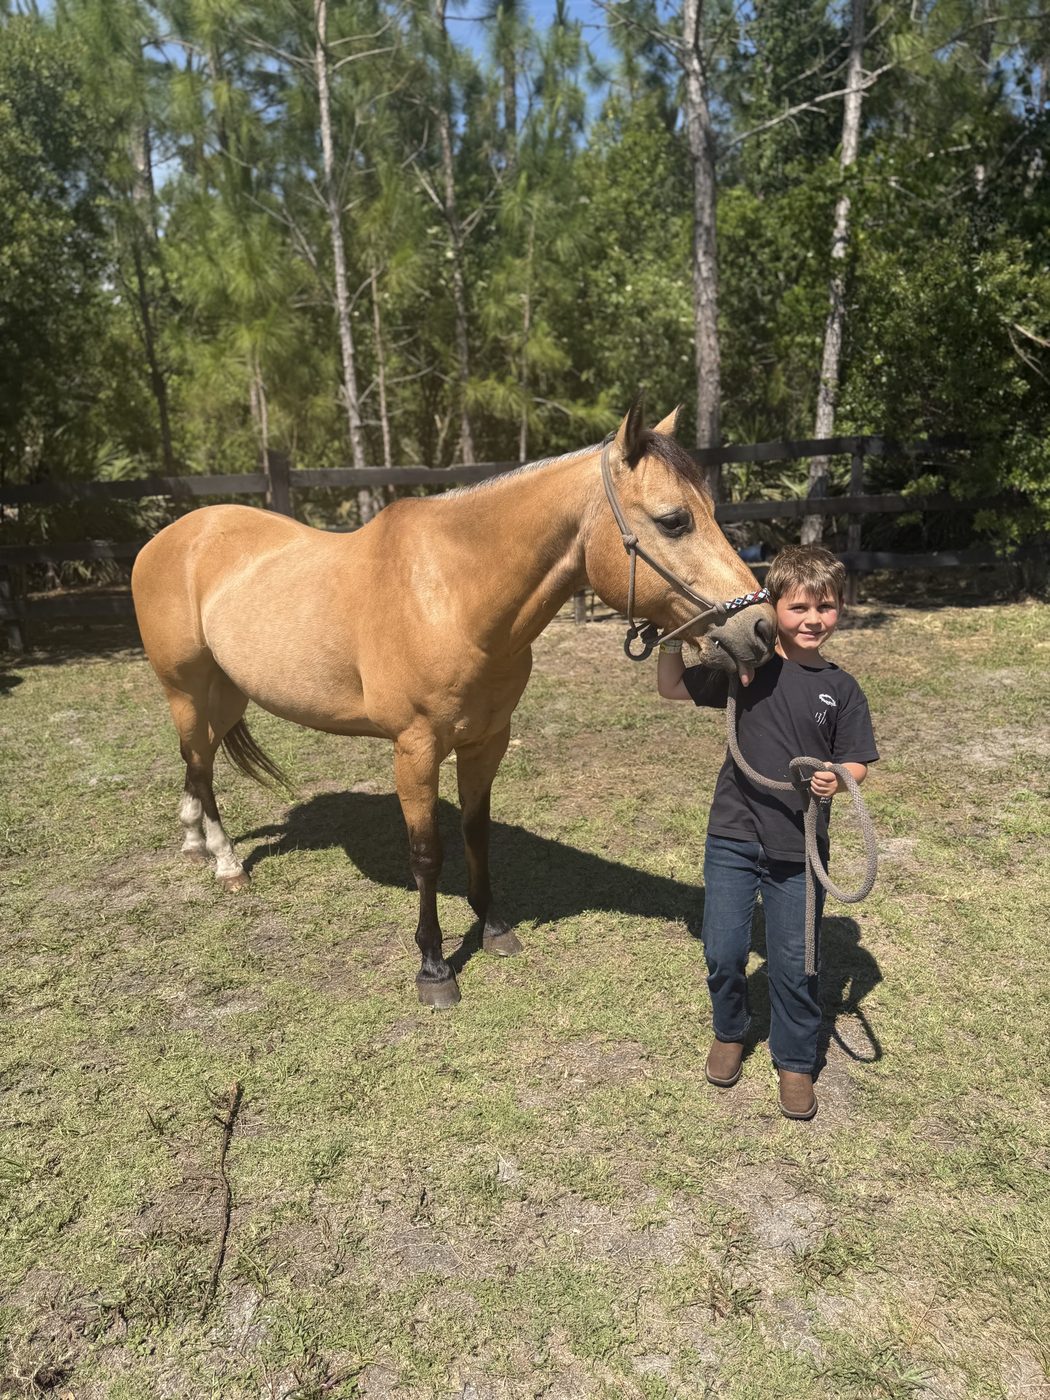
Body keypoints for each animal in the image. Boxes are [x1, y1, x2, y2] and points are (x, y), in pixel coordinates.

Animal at [131, 404, 775, 1007]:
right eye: (674, 521)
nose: (761, 628)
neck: (451, 596)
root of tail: (170, 537)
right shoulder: (415, 750)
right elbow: (427, 854)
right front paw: (434, 967)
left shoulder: (486, 740)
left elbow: (476, 833)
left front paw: (492, 926)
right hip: (185, 689)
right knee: (199, 764)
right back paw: (224, 862)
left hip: (226, 689)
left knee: (198, 760)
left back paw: (193, 840)